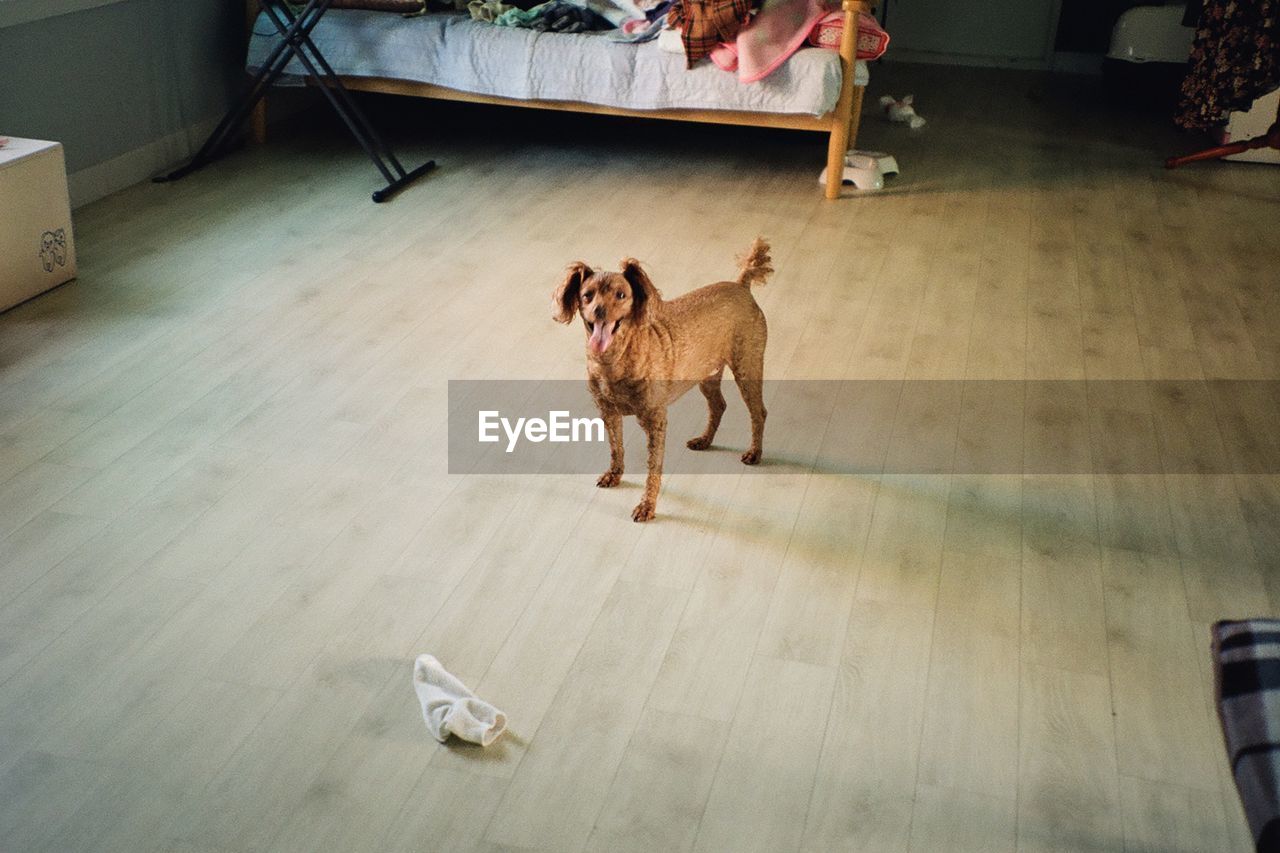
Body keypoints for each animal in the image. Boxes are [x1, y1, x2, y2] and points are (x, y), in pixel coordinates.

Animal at [550, 235, 768, 522]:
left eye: (621, 295)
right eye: (587, 295)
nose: (599, 311)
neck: (615, 360)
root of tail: (742, 286)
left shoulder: (655, 420)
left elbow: (653, 468)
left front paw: (647, 506)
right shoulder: (608, 412)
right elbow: (616, 448)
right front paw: (614, 475)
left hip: (747, 367)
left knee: (759, 412)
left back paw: (754, 453)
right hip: (707, 373)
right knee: (719, 405)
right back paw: (704, 440)